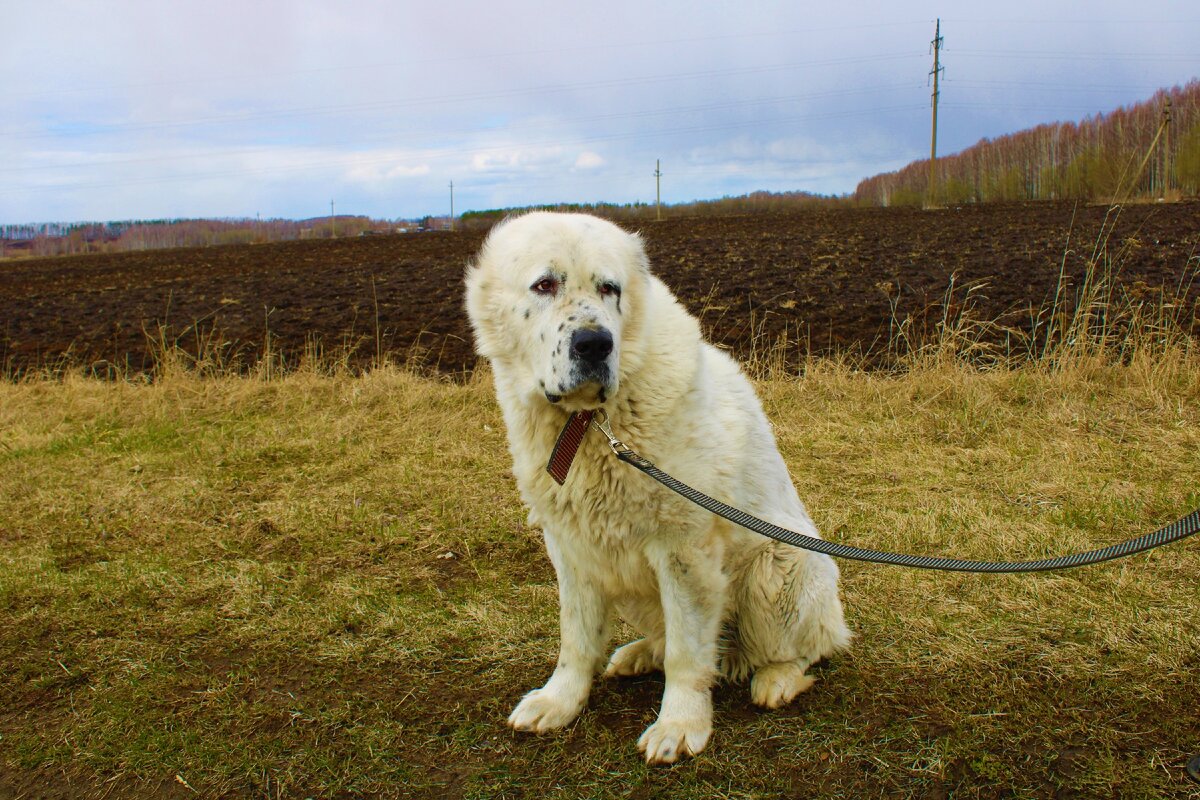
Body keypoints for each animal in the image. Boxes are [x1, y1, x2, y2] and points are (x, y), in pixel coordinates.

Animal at [463, 211, 849, 762]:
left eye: (609, 288)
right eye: (545, 285)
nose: (595, 343)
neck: (590, 422)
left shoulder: (684, 550)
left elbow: (688, 655)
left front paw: (680, 725)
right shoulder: (572, 546)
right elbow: (575, 638)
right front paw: (561, 701)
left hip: (781, 562)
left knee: (801, 650)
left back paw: (776, 679)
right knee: (667, 639)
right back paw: (640, 654)